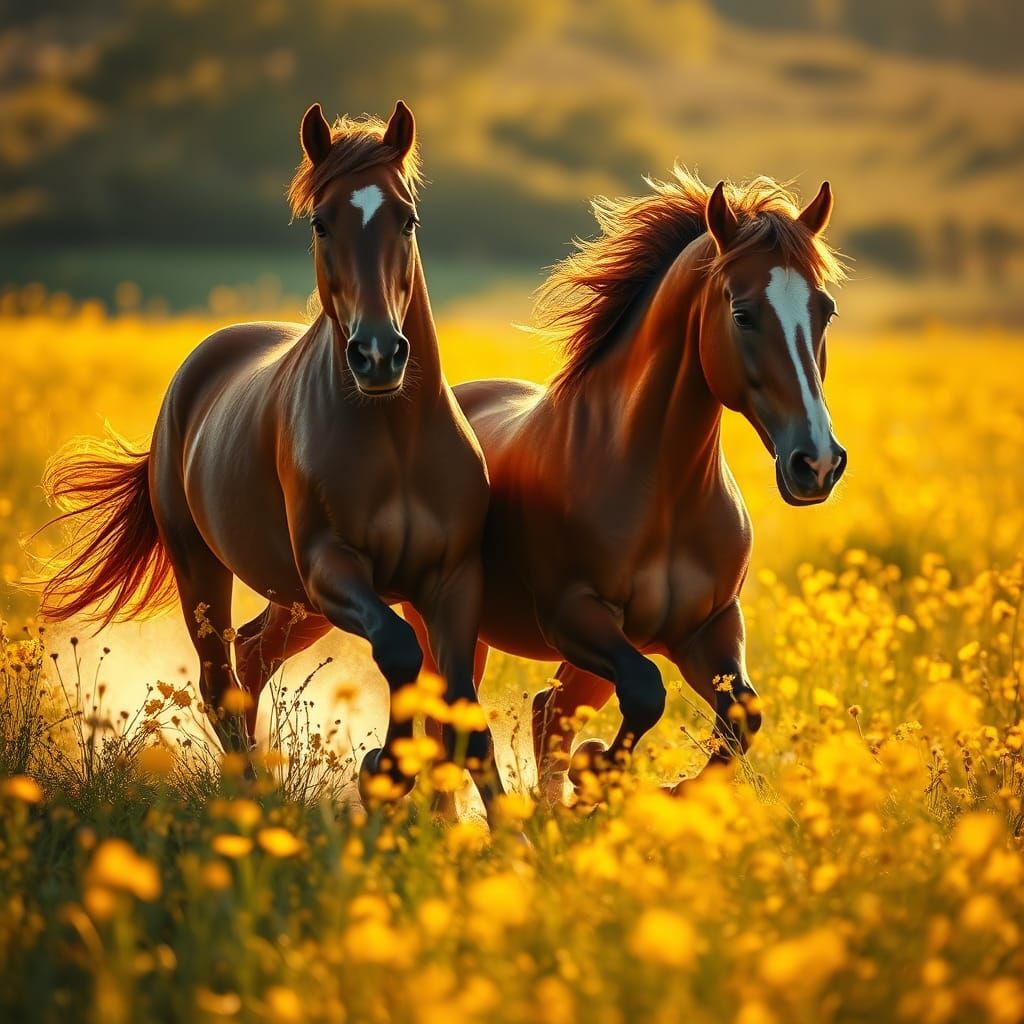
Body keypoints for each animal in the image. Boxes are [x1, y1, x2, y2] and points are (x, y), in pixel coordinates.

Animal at [35, 101, 498, 806]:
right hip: (203, 567)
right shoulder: (334, 569)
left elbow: (465, 717)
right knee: (219, 681)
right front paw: (381, 772)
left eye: (407, 218)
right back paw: (250, 799)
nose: (378, 354)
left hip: (291, 599)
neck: (396, 437)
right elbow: (399, 654)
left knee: (251, 658)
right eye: (321, 222)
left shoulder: (451, 579)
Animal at [403, 170, 847, 797]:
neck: (662, 492)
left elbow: (743, 714)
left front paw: (655, 790)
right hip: (445, 626)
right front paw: (596, 779)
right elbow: (644, 692)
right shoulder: (574, 615)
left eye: (824, 310)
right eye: (742, 313)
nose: (817, 464)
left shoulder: (708, 626)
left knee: (543, 711)